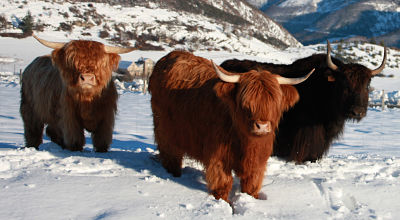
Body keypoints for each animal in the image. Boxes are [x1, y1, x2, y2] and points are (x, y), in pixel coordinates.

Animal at [148, 50, 314, 202]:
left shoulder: (257, 160)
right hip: (165, 129)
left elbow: (251, 184)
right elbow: (222, 183)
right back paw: (174, 174)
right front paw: (222, 202)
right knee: (170, 154)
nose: (262, 126)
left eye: (274, 103)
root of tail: (171, 55)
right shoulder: (219, 157)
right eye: (246, 103)